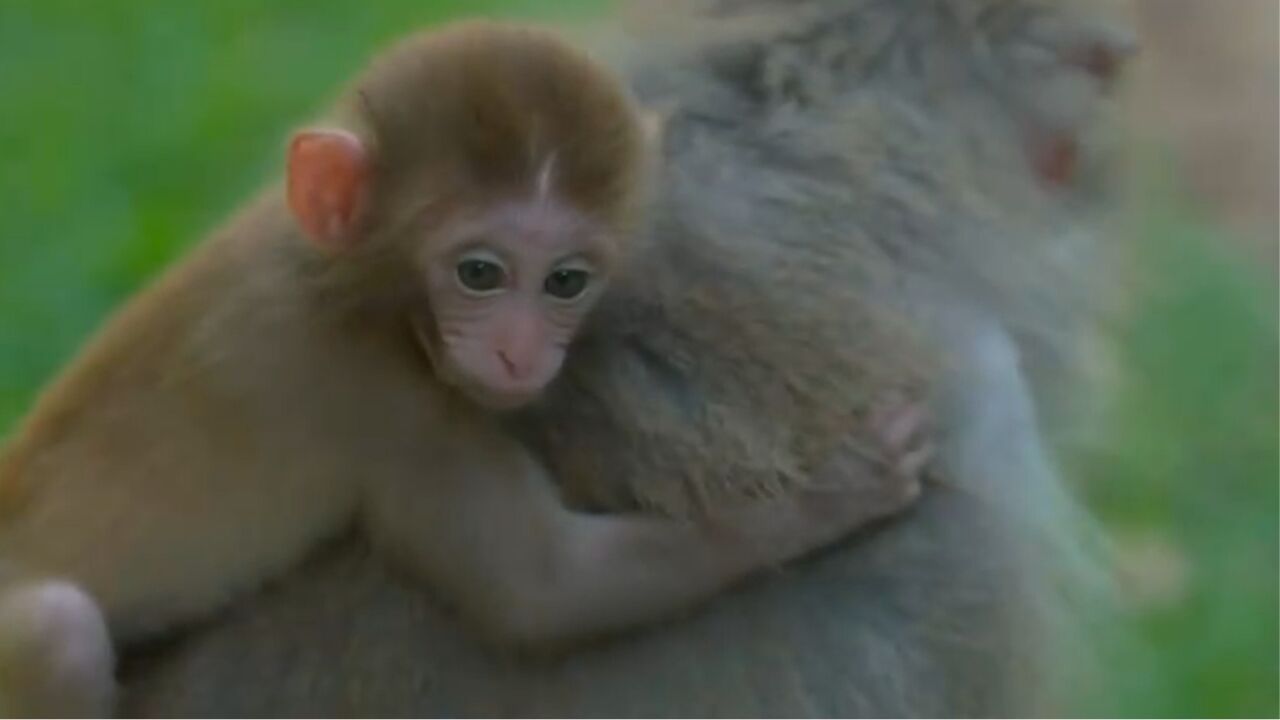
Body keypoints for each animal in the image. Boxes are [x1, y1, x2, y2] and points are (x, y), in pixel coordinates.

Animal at [0, 19, 926, 712]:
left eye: (566, 281)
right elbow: (543, 591)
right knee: (57, 633)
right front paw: (834, 495)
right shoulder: (386, 398)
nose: (521, 351)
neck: (344, 272)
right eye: (479, 272)